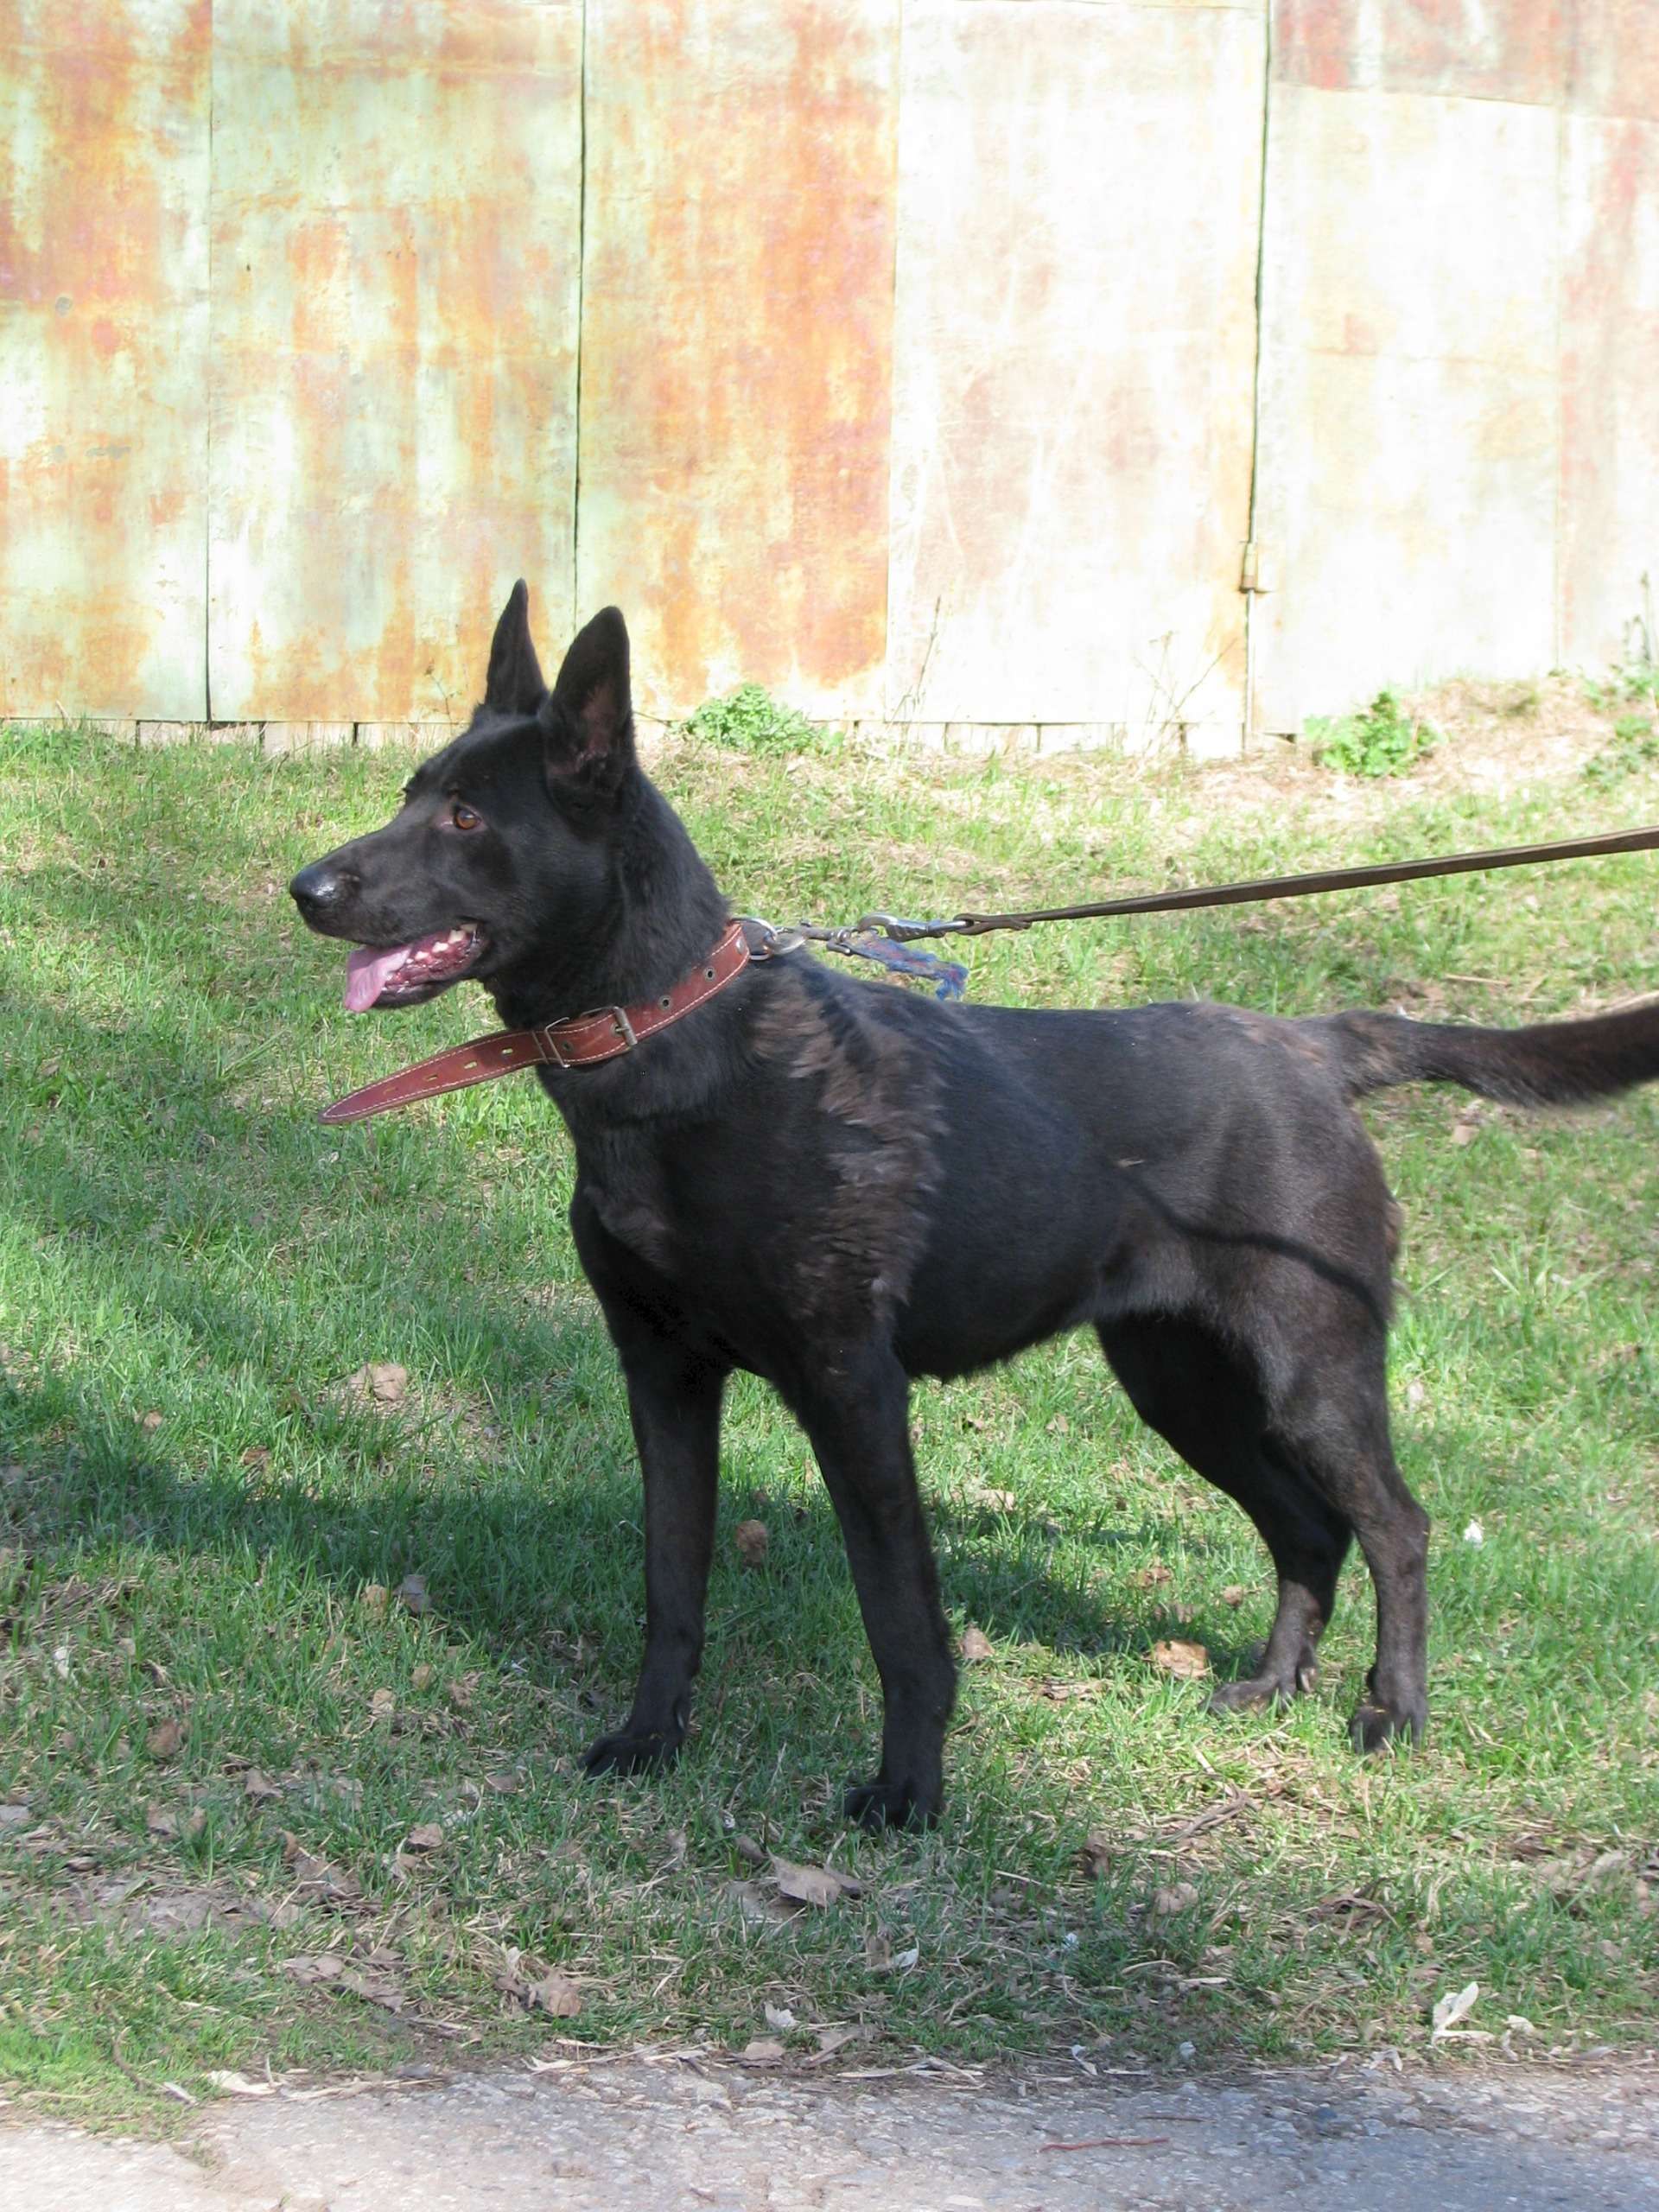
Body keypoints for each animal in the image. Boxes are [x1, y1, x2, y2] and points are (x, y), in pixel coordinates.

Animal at [291, 587, 1659, 1827]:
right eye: (411, 792)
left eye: (467, 815)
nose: (306, 888)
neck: (684, 1051)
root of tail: (1317, 1046)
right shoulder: (664, 1378)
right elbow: (671, 1585)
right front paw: (650, 1740)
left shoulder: (852, 1390)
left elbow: (900, 1615)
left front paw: (910, 1793)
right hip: (1182, 1385)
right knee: (1307, 1532)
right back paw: (1271, 1688)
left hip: (1309, 1379)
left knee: (1399, 1526)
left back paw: (1394, 1711)